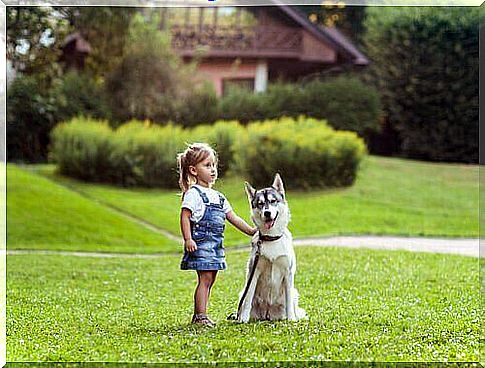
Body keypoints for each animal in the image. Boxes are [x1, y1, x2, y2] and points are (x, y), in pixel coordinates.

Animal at [237, 174, 306, 320]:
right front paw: (243, 320)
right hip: (242, 292)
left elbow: (289, 301)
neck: (271, 238)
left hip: (294, 292)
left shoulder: (288, 272)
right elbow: (247, 301)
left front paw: (292, 319)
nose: (267, 213)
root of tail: (267, 313)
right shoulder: (254, 272)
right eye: (260, 203)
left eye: (273, 201)